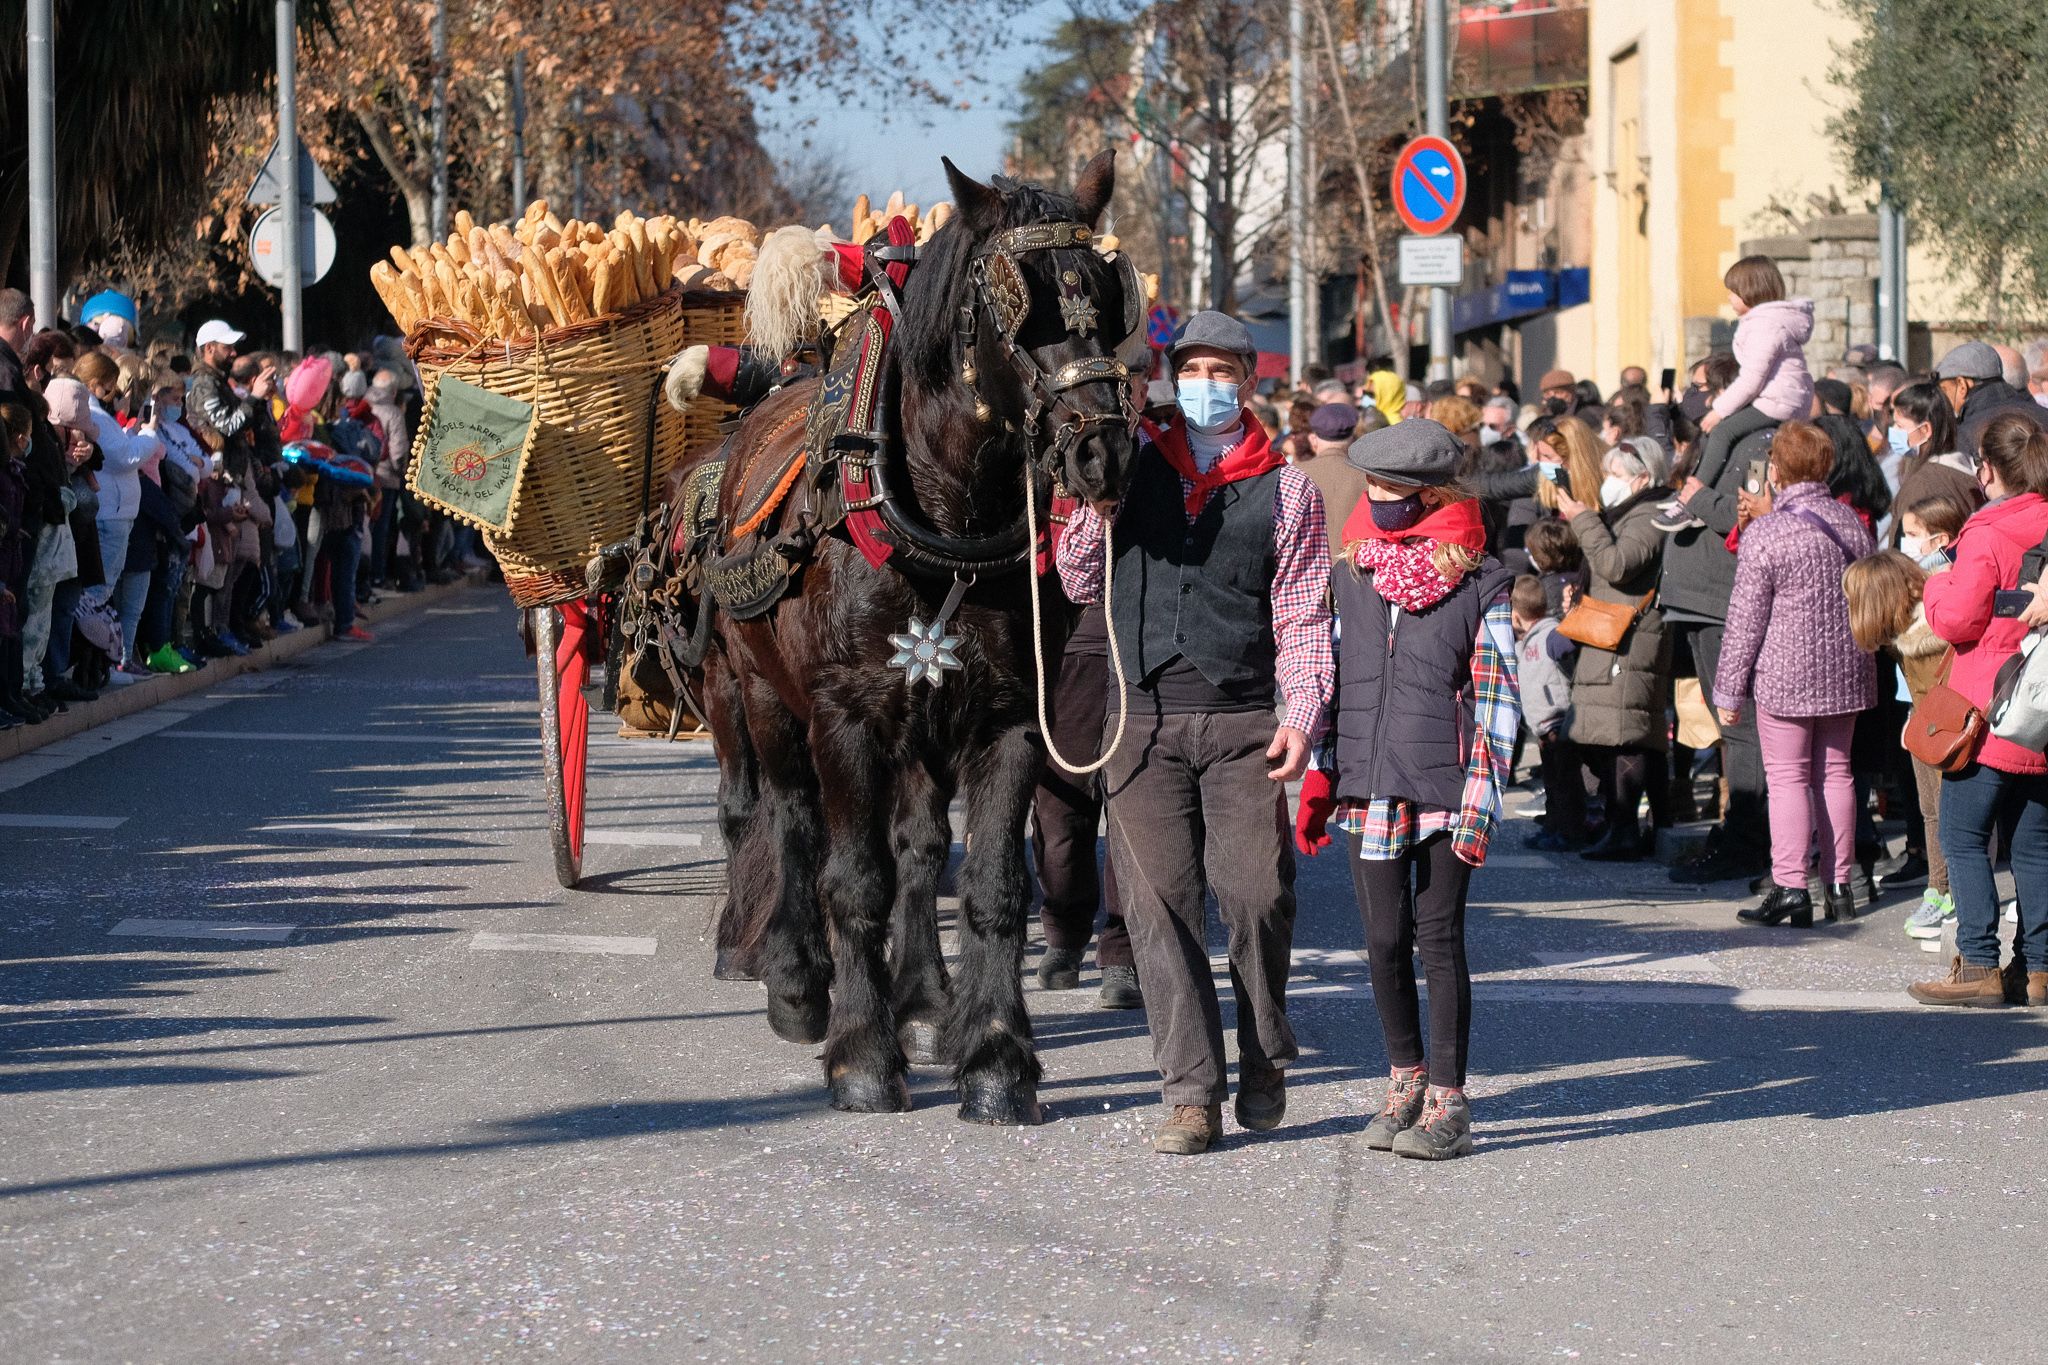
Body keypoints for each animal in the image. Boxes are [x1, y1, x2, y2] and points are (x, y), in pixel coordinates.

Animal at [708, 154, 1146, 1129]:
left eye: (1110, 297)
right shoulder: (843, 718)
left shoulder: (1006, 718)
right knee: (786, 822)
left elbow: (990, 884)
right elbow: (853, 879)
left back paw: (923, 996)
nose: (1102, 453)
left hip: (922, 727)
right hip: (761, 698)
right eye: (1020, 303)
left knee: (913, 844)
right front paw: (863, 1059)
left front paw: (994, 1058)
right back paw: (798, 982)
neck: (948, 523)